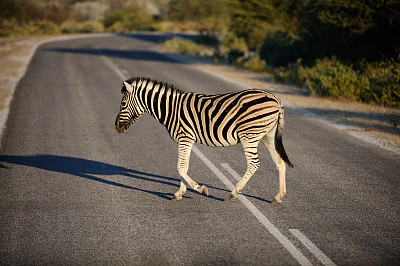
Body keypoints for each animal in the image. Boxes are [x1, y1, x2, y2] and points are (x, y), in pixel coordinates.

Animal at [114, 77, 292, 204]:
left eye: (123, 103)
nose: (116, 127)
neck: (171, 109)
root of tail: (276, 99)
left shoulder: (184, 138)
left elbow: (180, 168)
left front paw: (201, 189)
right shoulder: (186, 140)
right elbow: (184, 167)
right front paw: (180, 193)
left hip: (250, 135)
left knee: (254, 163)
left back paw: (234, 192)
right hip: (267, 135)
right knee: (280, 162)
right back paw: (279, 196)